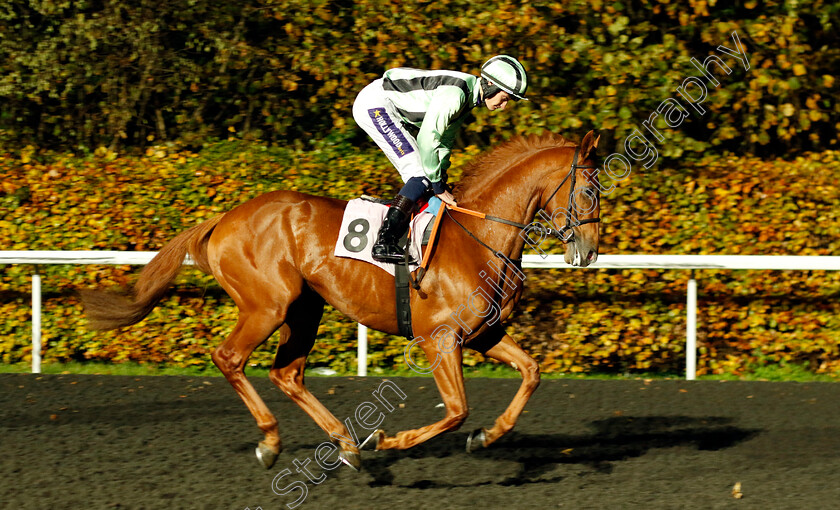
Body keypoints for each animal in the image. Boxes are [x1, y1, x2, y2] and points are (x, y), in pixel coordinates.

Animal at [82, 130, 600, 470]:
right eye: (589, 191)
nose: (589, 251)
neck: (480, 238)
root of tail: (224, 218)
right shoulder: (439, 339)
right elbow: (456, 411)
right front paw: (388, 439)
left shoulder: (483, 333)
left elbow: (531, 373)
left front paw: (485, 437)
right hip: (268, 305)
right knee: (230, 358)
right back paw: (273, 442)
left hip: (305, 309)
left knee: (287, 373)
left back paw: (344, 443)